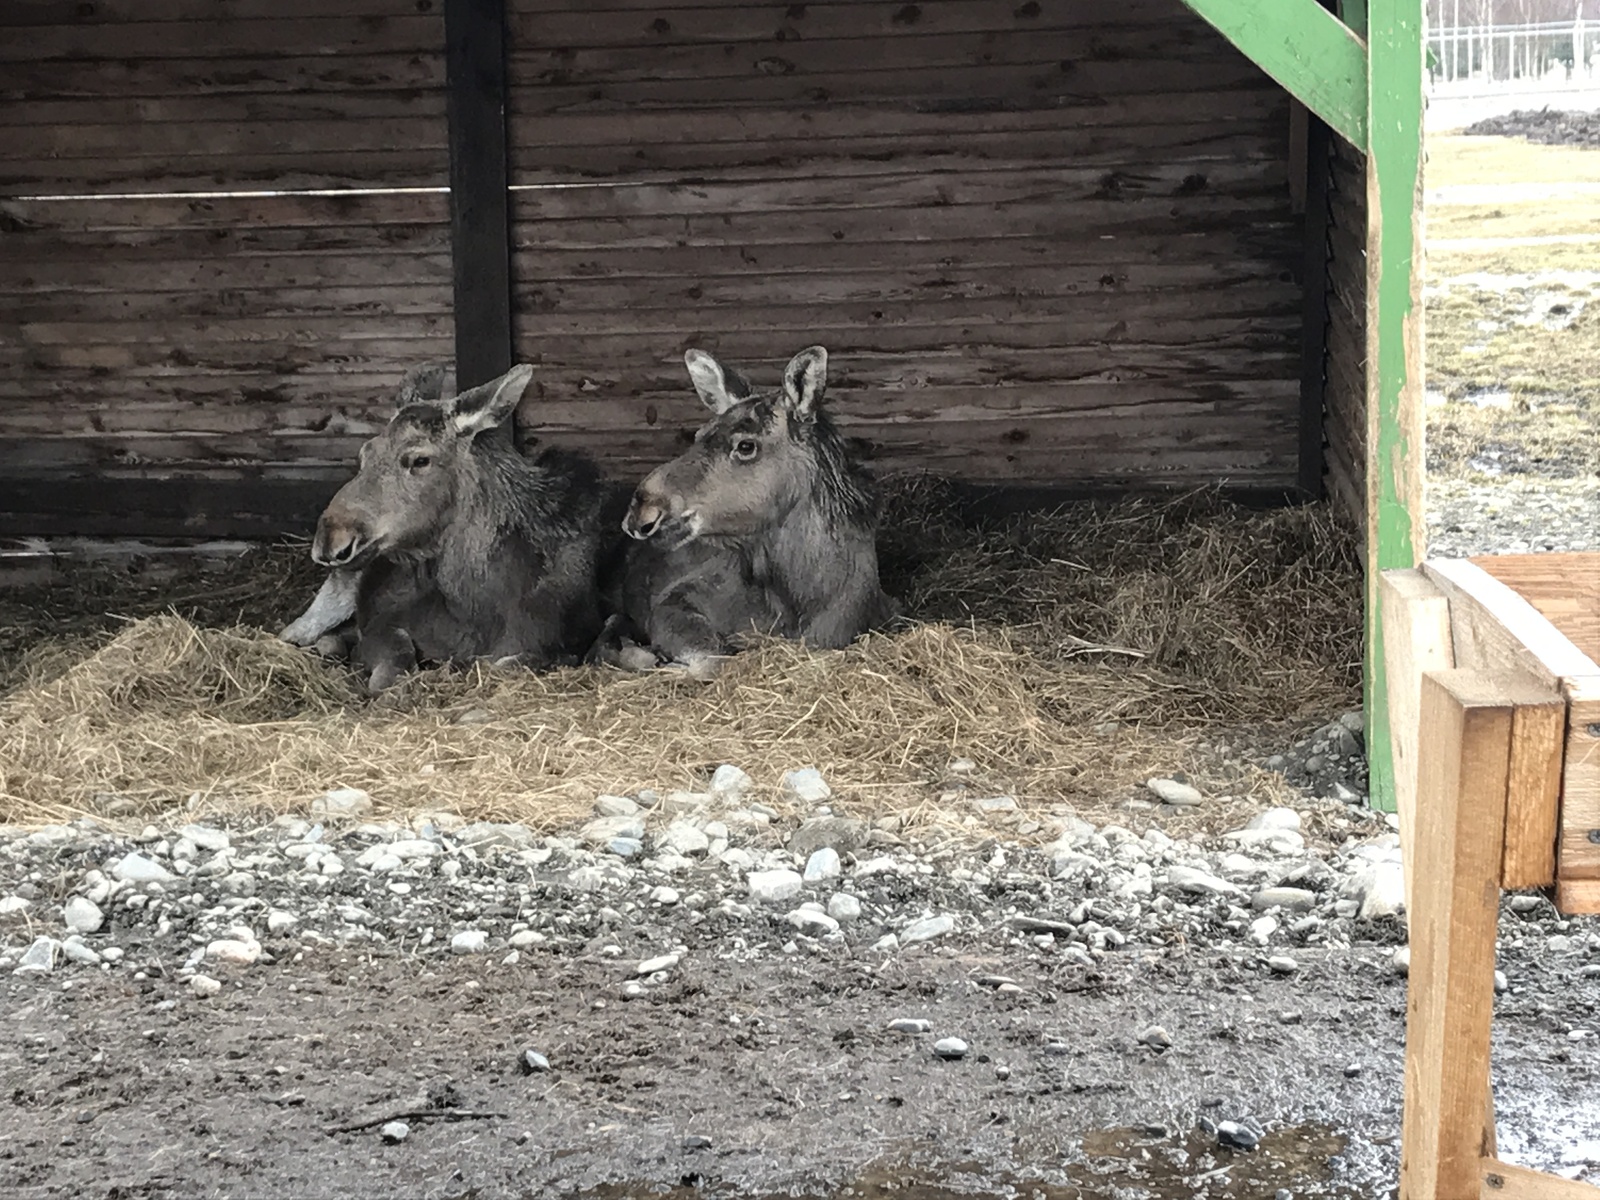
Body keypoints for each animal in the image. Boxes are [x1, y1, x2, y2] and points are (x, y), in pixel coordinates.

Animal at [278, 361, 601, 691]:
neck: (475, 607)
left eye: (420, 460)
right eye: (365, 453)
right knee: (295, 631)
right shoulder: (382, 621)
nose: (331, 539)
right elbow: (397, 653)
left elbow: (506, 663)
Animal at [601, 345, 902, 678]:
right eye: (698, 434)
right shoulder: (673, 601)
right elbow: (713, 659)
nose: (642, 510)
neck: (803, 602)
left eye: (746, 446)